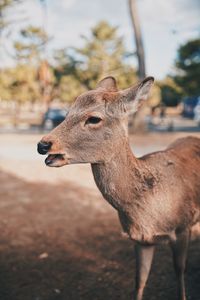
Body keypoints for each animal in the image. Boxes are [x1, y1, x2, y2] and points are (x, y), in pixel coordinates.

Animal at [37, 77, 200, 300]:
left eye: (94, 118)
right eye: (68, 112)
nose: (43, 145)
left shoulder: (183, 226)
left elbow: (179, 271)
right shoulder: (141, 240)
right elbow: (140, 280)